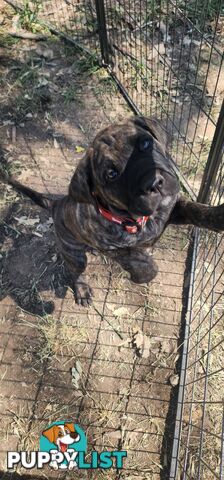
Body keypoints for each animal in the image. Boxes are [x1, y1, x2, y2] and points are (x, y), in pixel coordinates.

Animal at [1, 116, 224, 306]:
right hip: (74, 254)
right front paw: (144, 272)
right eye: (111, 174)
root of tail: (57, 204)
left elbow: (195, 210)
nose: (154, 182)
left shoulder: (171, 208)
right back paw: (82, 290)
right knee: (76, 271)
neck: (138, 220)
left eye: (145, 143)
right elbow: (137, 259)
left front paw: (217, 216)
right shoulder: (110, 248)